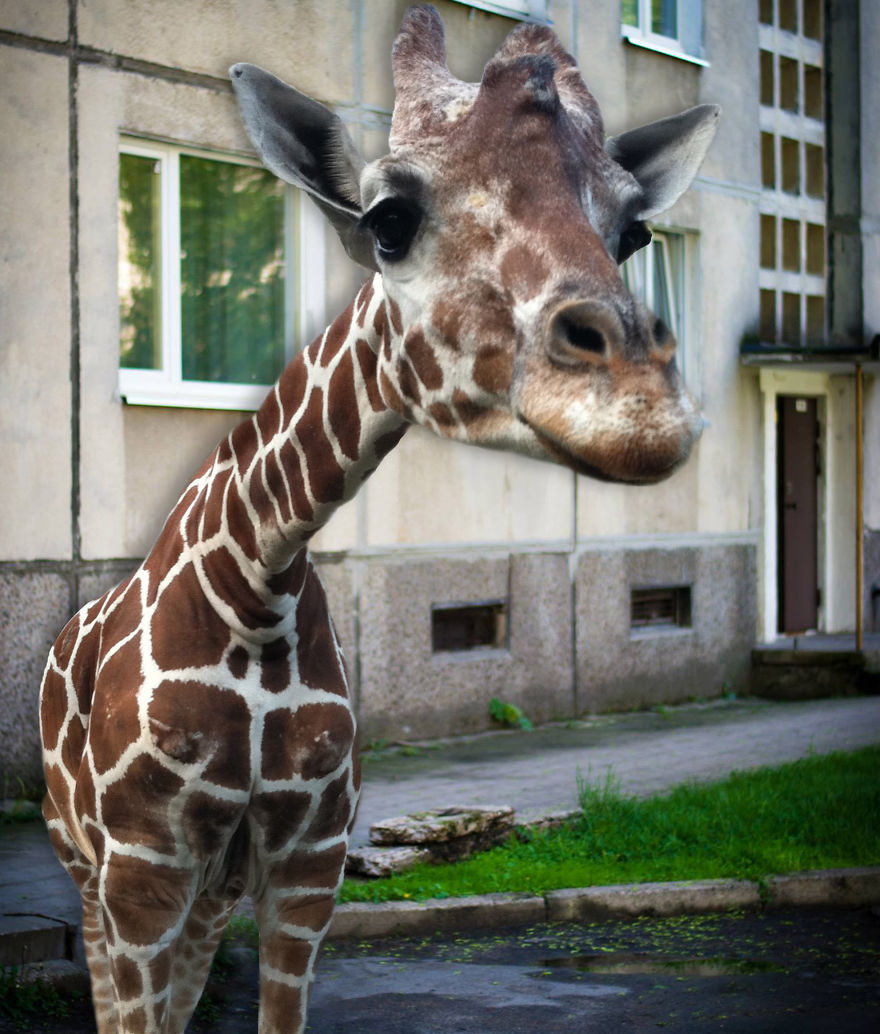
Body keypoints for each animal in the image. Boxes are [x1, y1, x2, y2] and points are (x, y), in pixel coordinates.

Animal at [40, 6, 719, 1032]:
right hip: (86, 866)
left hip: (211, 889)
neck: (256, 588)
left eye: (635, 232)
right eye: (388, 219)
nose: (641, 409)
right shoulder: (140, 871)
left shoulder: (307, 865)